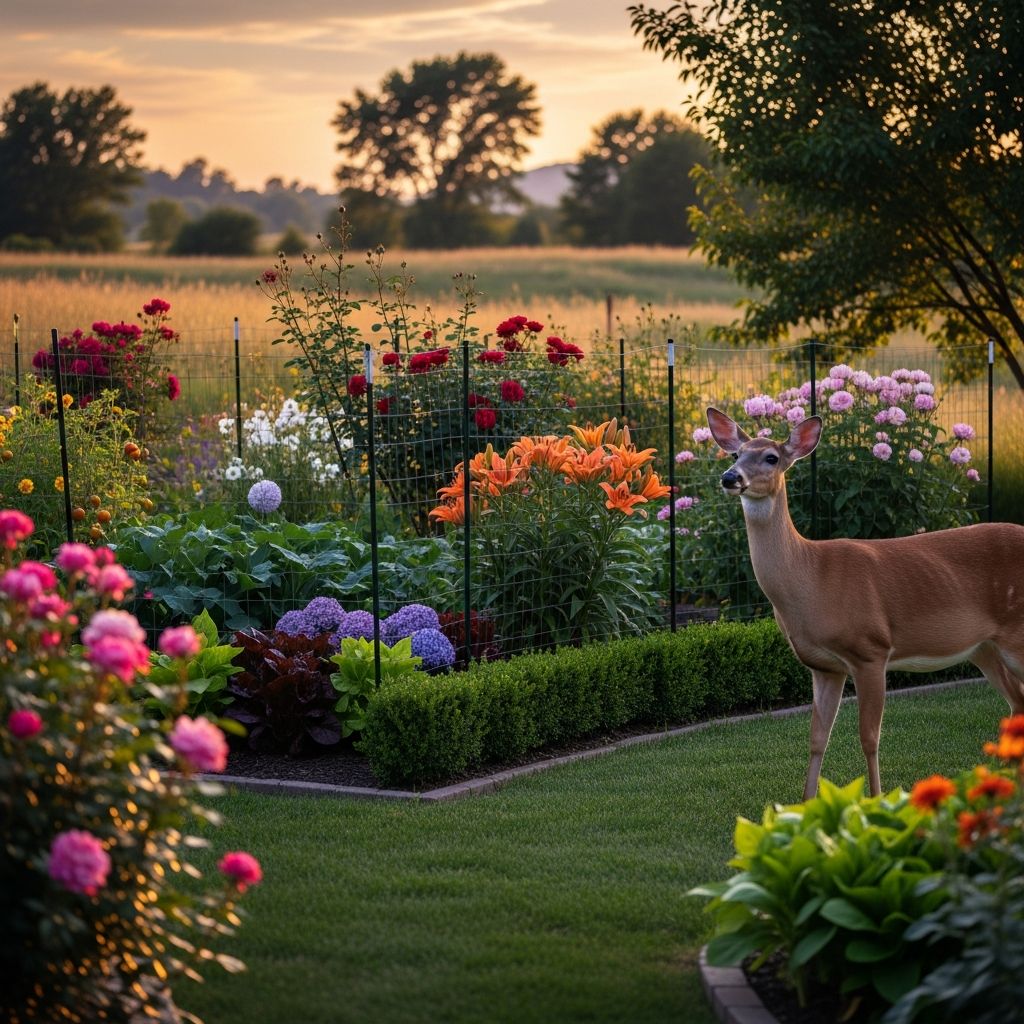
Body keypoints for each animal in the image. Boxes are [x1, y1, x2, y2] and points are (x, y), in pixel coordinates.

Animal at [705, 407, 1024, 799]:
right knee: (1016, 703)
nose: (730, 477)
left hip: (1015, 636)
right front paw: (805, 805)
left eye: (771, 457)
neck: (811, 579)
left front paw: (876, 800)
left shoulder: (871, 650)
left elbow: (869, 738)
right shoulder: (824, 667)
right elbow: (817, 739)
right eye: (736, 453)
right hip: (985, 649)